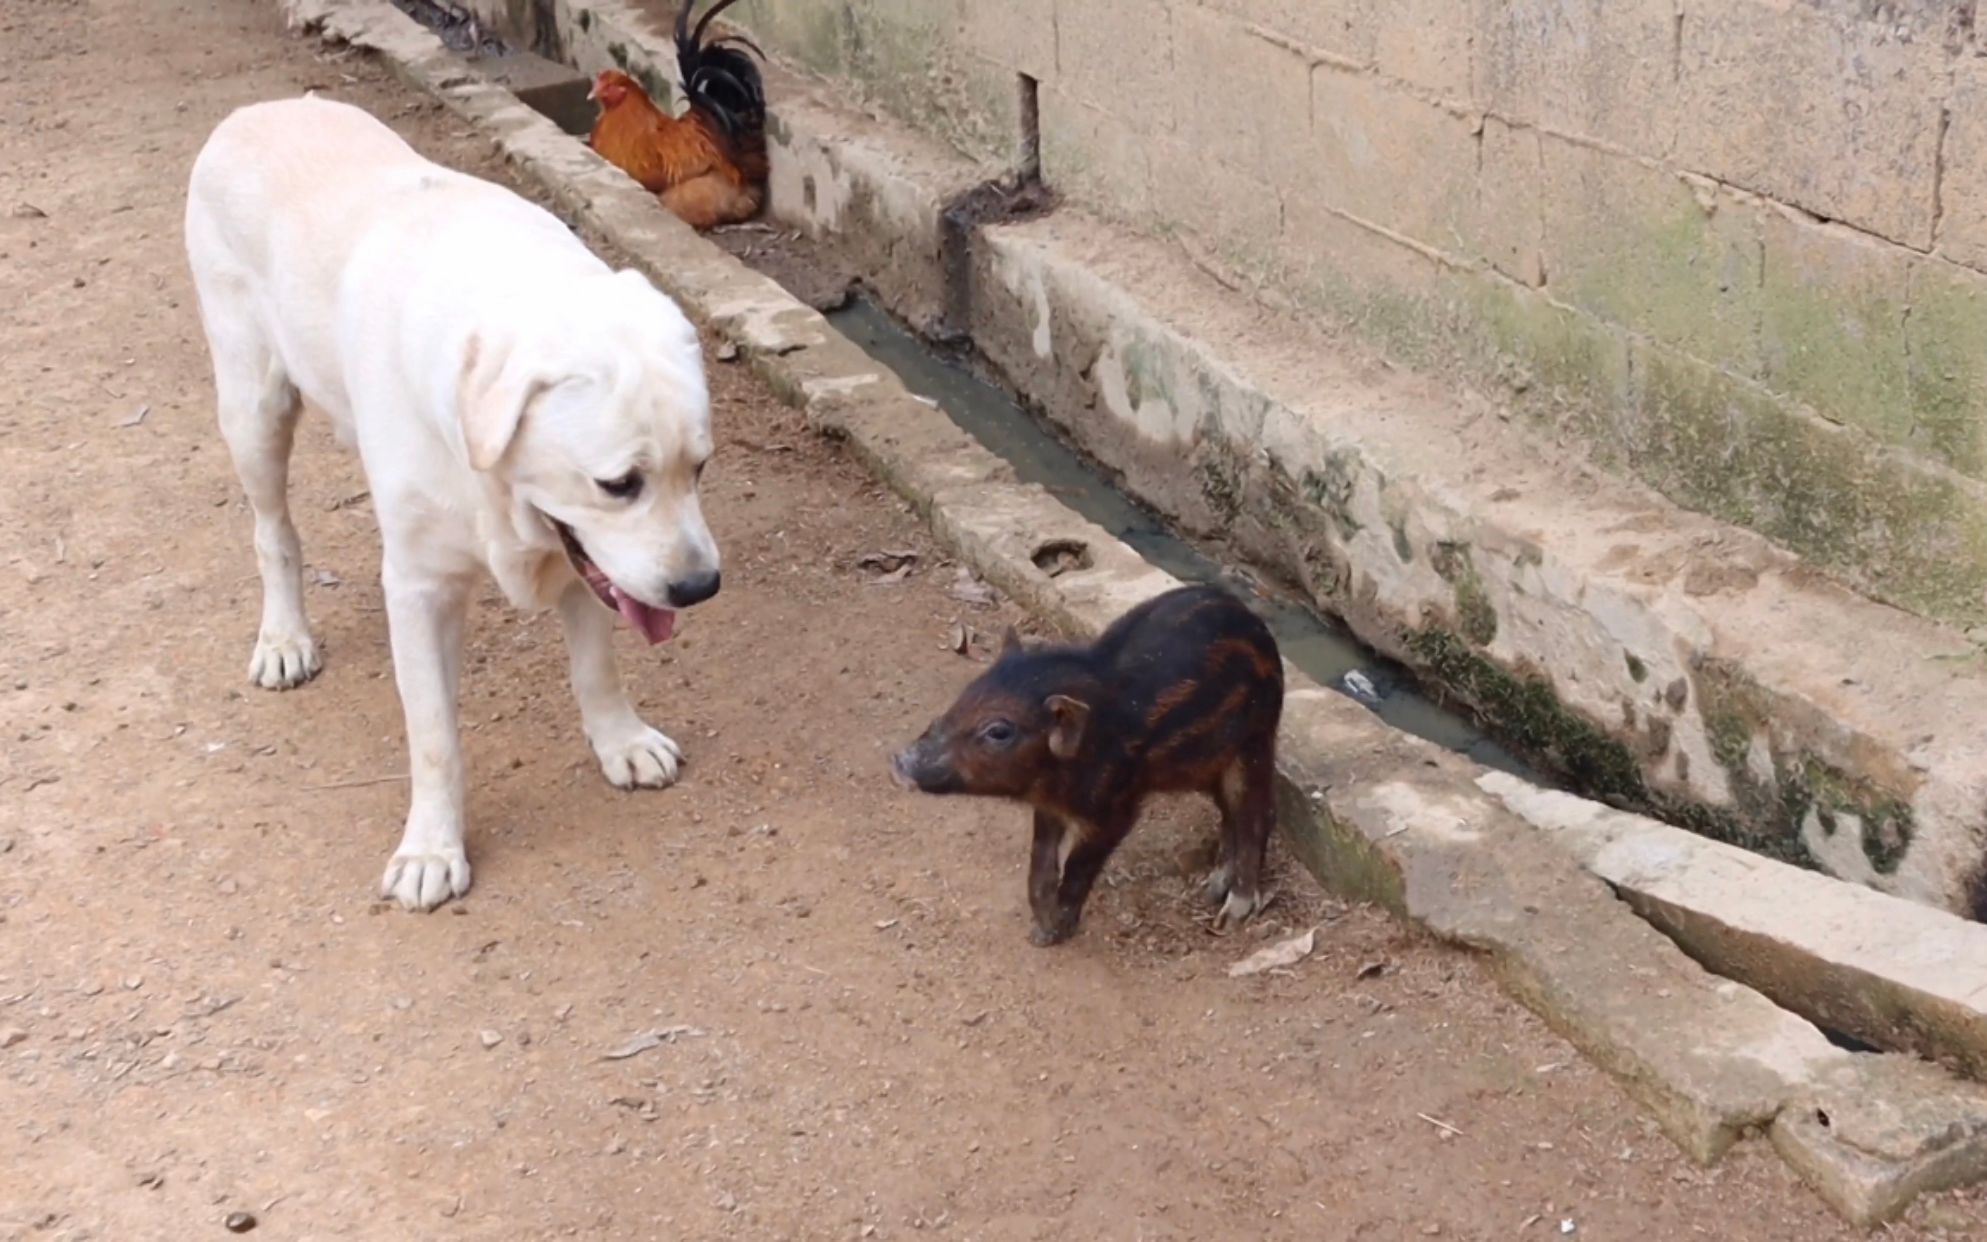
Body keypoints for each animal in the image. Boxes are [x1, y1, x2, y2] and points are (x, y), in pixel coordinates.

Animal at [186, 96, 723, 910]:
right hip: (253, 409)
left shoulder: (586, 563)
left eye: (699, 467)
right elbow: (435, 737)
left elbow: (597, 667)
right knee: (272, 531)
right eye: (619, 484)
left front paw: (621, 741)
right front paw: (431, 850)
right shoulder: (419, 588)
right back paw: (284, 638)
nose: (700, 587)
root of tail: (260, 108)